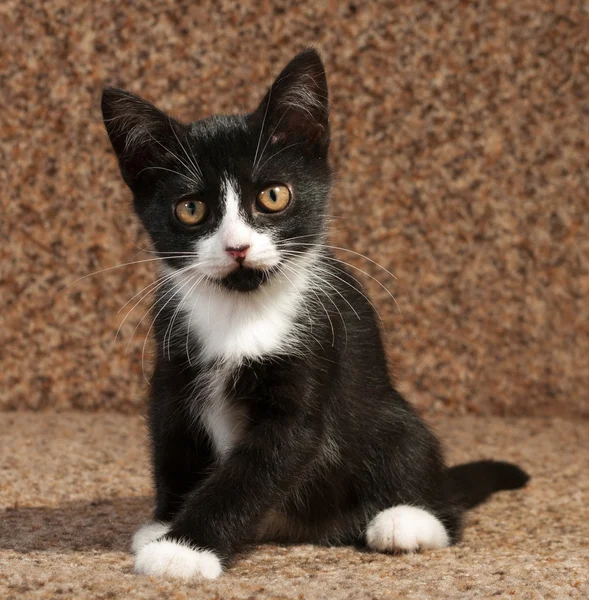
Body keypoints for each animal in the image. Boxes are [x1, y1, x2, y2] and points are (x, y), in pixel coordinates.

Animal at [101, 49, 528, 580]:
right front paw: (164, 523)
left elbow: (256, 468)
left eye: (273, 196)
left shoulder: (314, 356)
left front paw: (182, 548)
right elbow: (172, 442)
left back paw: (407, 520)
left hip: (389, 416)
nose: (237, 247)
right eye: (191, 209)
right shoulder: (173, 366)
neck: (241, 310)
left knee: (421, 465)